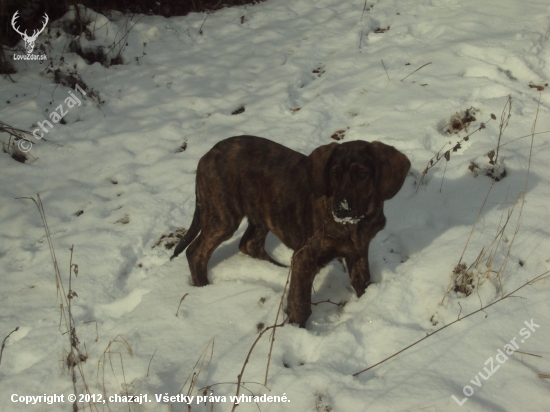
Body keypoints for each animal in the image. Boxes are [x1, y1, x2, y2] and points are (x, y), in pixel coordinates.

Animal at [171, 137, 410, 326]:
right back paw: (203, 289)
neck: (354, 224)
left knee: (249, 244)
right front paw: (296, 329)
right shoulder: (306, 257)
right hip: (224, 215)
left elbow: (363, 282)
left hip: (261, 210)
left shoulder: (358, 252)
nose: (340, 209)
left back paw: (276, 268)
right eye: (333, 174)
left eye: (362, 174)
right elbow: (300, 302)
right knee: (196, 251)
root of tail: (207, 154)